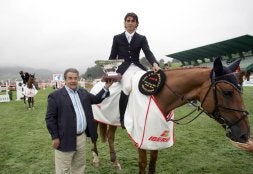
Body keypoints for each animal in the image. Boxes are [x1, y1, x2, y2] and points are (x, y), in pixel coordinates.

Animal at [90, 57, 249, 173]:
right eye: (227, 92)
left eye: (241, 89)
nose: (245, 135)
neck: (157, 96)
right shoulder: (141, 137)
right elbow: (143, 163)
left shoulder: (155, 135)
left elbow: (152, 163)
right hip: (95, 119)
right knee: (95, 138)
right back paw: (96, 160)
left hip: (112, 120)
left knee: (110, 137)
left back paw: (115, 163)